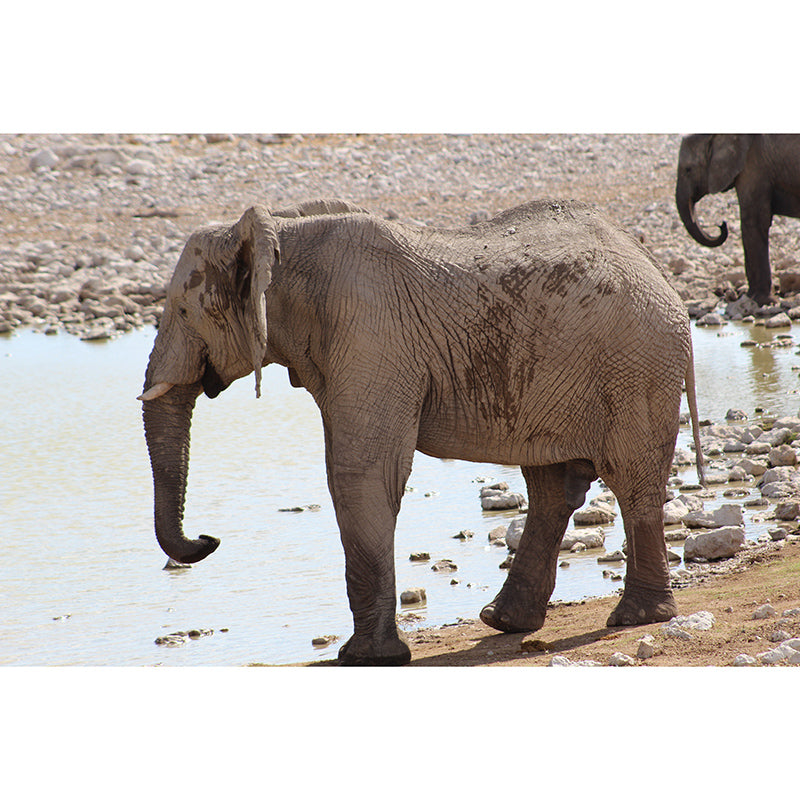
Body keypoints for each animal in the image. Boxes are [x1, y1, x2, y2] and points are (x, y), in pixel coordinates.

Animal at [139, 196, 705, 666]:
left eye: (185, 310)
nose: (209, 538)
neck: (282, 233)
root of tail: (659, 275)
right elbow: (358, 470)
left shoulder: (371, 337)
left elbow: (361, 472)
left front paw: (365, 659)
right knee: (551, 485)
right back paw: (504, 622)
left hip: (636, 366)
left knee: (630, 478)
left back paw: (636, 619)